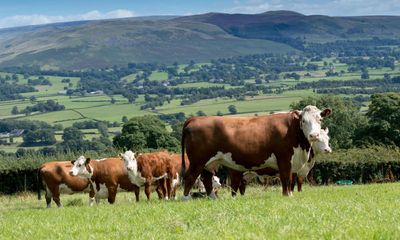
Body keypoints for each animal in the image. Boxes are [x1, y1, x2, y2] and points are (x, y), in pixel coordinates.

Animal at [181, 105, 332, 199]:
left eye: (320, 119)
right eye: (304, 120)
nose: (314, 135)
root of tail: (195, 119)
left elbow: (289, 180)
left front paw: (290, 194)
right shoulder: (284, 158)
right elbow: (286, 179)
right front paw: (287, 195)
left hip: (209, 163)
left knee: (206, 179)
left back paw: (213, 198)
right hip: (197, 161)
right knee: (190, 177)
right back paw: (186, 198)